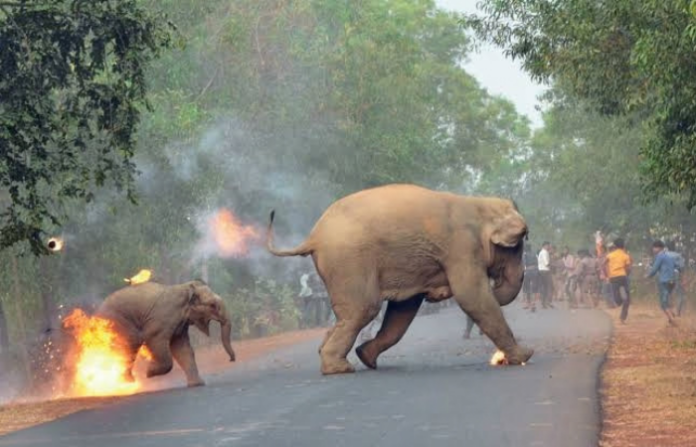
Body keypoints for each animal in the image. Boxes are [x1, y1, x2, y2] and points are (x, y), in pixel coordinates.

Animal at [97, 279, 236, 387]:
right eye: (212, 305)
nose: (231, 360)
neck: (186, 288)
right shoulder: (163, 317)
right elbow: (154, 339)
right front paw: (149, 372)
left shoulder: (180, 324)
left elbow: (182, 348)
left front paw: (197, 384)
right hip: (118, 322)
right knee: (129, 345)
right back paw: (127, 382)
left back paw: (125, 382)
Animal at [266, 183, 532, 375]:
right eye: (518, 246)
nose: (496, 284)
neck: (479, 204)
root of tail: (313, 237)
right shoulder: (461, 247)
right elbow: (472, 296)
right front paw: (524, 356)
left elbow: (403, 310)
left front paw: (366, 355)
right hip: (349, 261)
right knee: (364, 309)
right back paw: (339, 369)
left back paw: (339, 356)